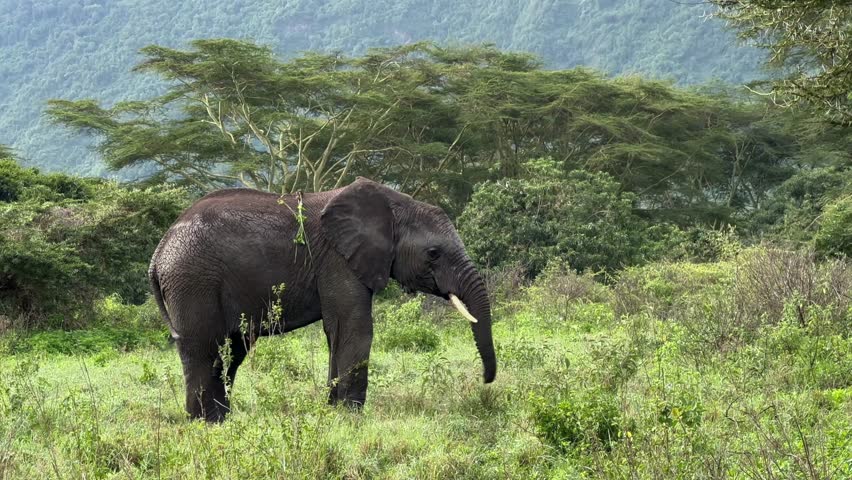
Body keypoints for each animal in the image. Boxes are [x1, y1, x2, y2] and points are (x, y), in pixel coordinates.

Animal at [148, 177, 496, 422]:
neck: (393, 203)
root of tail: (158, 252)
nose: (486, 381)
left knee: (231, 350)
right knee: (205, 348)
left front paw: (331, 413)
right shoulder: (337, 259)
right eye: (434, 253)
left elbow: (339, 331)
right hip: (193, 281)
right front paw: (350, 417)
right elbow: (353, 327)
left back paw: (217, 420)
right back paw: (206, 423)